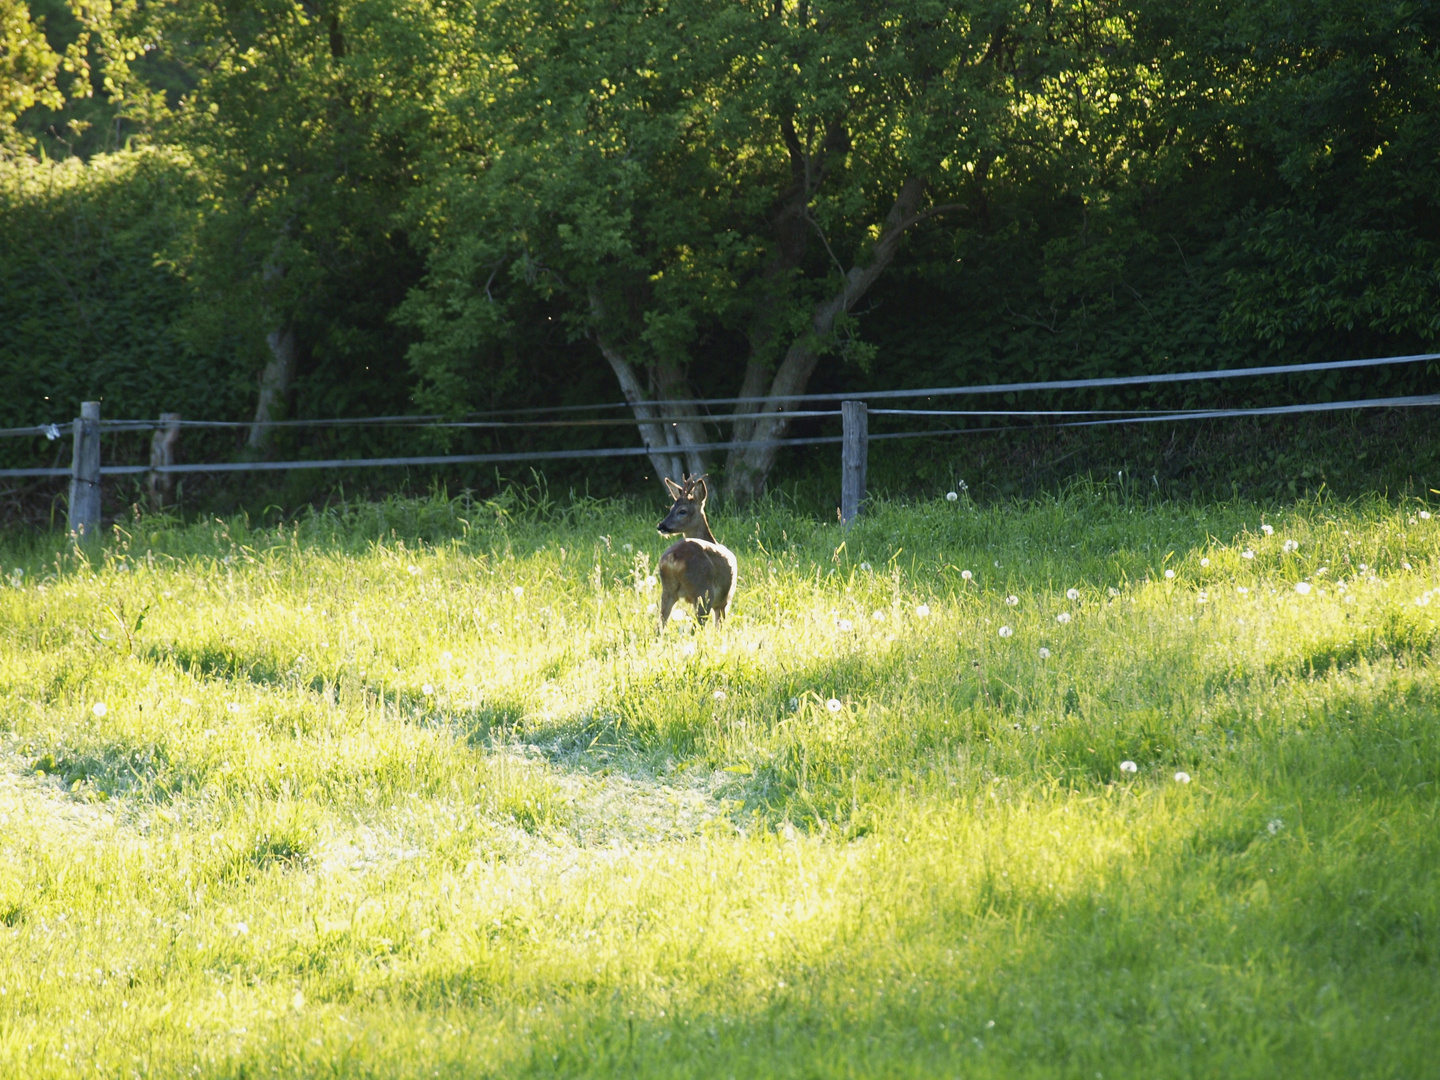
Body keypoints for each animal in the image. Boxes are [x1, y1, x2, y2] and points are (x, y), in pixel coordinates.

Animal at [659, 472, 737, 624]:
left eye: (682, 511)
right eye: (671, 508)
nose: (661, 526)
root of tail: (672, 559)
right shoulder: (724, 601)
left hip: (668, 591)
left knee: (659, 624)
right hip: (703, 593)